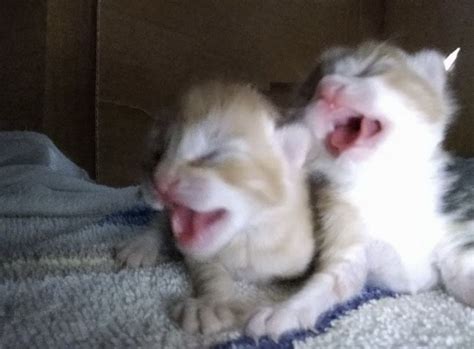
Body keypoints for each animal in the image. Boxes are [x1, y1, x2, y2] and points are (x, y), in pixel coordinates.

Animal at [115, 80, 314, 334]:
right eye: (157, 155)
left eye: (212, 155)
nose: (160, 181)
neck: (245, 239)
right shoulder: (200, 256)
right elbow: (210, 274)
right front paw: (209, 304)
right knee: (160, 222)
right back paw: (140, 246)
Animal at [246, 42, 472, 338]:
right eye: (309, 90)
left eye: (374, 68)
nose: (325, 87)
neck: (381, 185)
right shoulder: (344, 247)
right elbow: (327, 282)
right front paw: (284, 310)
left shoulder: (454, 235)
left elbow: (462, 273)